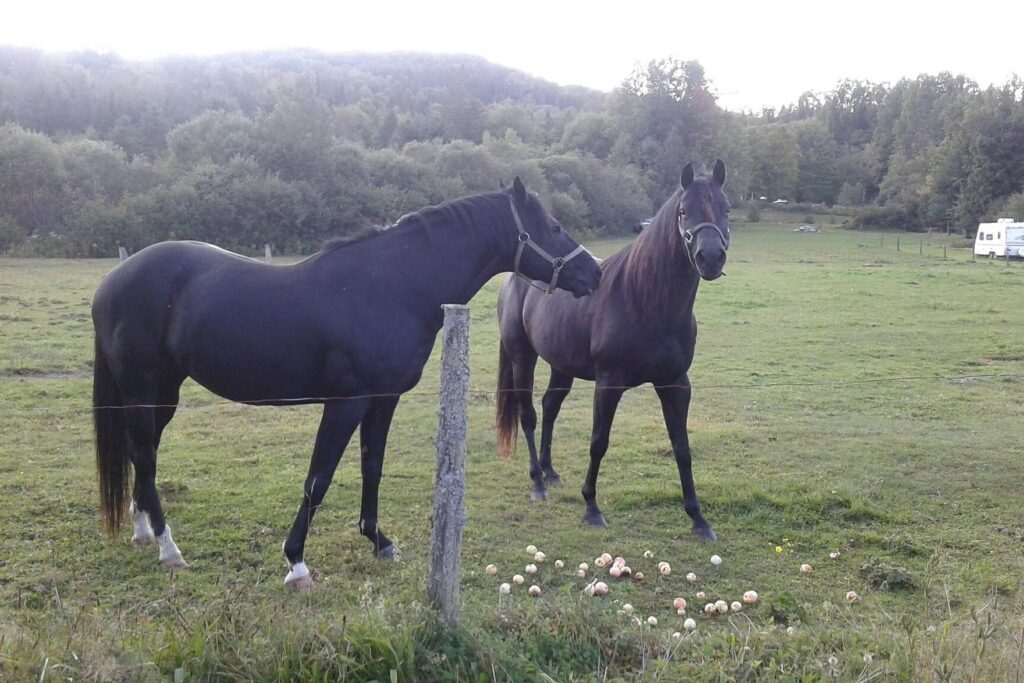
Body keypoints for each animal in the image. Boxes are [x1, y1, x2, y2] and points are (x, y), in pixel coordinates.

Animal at [92, 177, 602, 589]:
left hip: (163, 394)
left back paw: (143, 531)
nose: (594, 273)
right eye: (553, 226)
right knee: (146, 457)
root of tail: (111, 282)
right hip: (141, 391)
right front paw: (296, 562)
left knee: (142, 454)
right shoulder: (346, 402)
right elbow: (318, 479)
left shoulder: (382, 400)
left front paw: (378, 540)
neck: (392, 287)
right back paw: (169, 548)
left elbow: (371, 467)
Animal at [495, 161, 730, 541]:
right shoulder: (609, 384)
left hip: (561, 366)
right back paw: (537, 482)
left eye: (726, 209)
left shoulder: (676, 384)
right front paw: (591, 507)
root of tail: (514, 278)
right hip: (521, 357)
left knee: (549, 407)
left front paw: (698, 519)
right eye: (683, 212)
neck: (644, 299)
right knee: (527, 414)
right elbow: (598, 442)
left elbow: (682, 448)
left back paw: (549, 471)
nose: (710, 258)